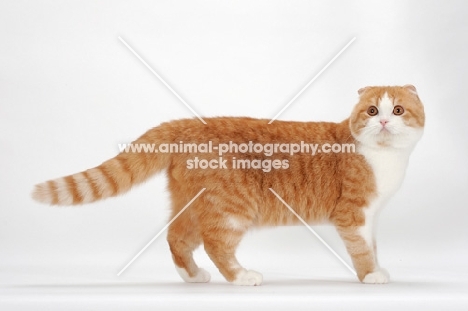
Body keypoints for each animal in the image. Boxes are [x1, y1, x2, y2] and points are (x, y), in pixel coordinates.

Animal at [32, 85, 424, 288]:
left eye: (398, 111)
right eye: (372, 111)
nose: (384, 122)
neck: (383, 156)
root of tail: (188, 123)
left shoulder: (371, 216)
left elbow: (374, 246)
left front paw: (378, 268)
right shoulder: (353, 214)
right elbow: (362, 249)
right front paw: (370, 275)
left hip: (193, 204)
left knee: (176, 237)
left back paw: (191, 276)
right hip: (231, 210)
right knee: (215, 244)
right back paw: (240, 276)